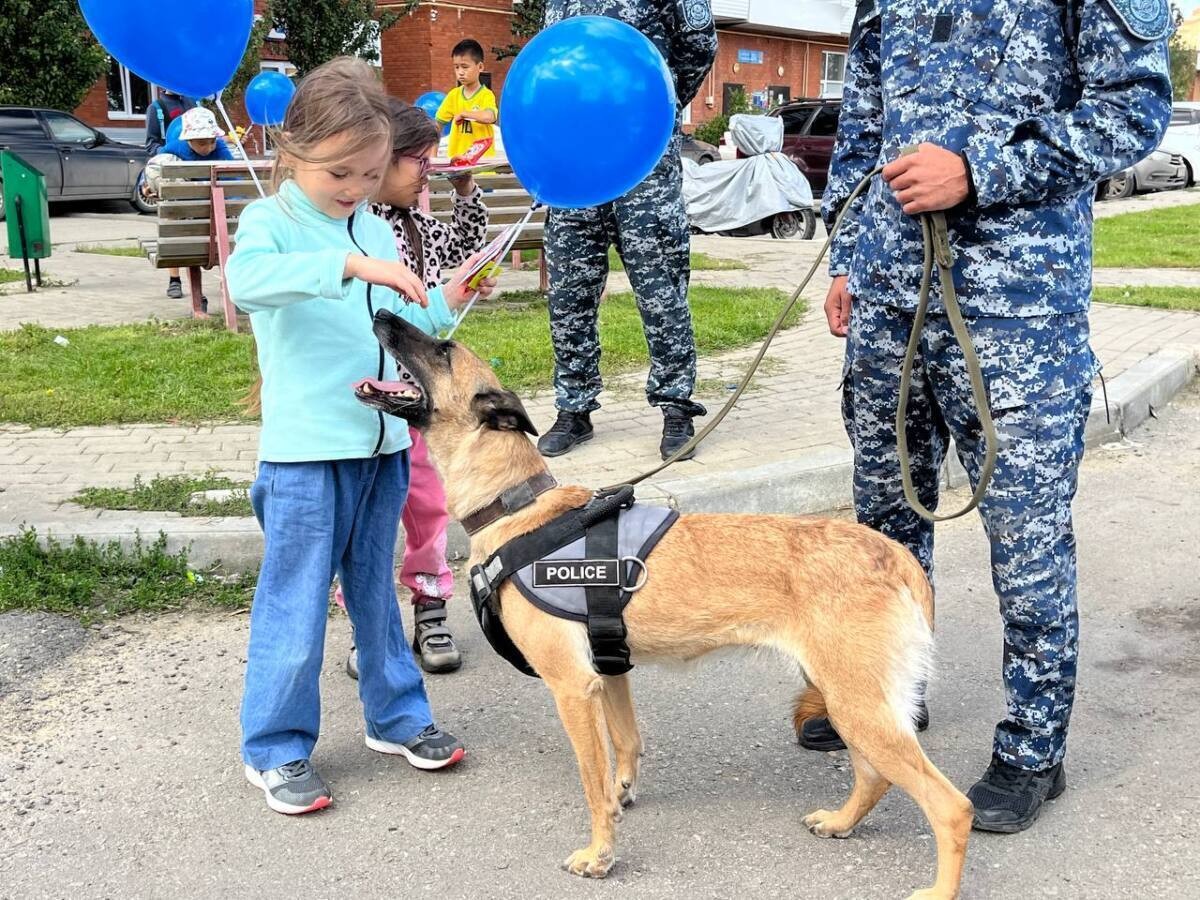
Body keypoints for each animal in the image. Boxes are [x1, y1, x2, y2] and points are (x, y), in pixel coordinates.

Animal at [357, 309, 974, 900]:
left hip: (858, 705)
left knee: (950, 806)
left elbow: (591, 781)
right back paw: (841, 822)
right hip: (850, 699)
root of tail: (894, 554)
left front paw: (600, 853)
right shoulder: (610, 672)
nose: (381, 311)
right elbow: (626, 746)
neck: (517, 507)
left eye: (443, 349)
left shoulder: (571, 688)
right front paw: (621, 797)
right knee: (875, 777)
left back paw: (938, 887)